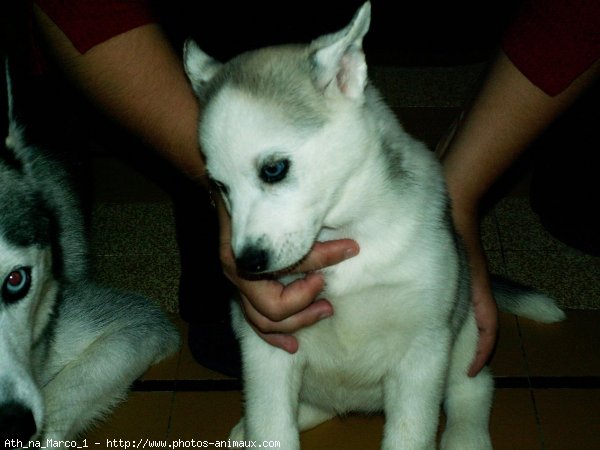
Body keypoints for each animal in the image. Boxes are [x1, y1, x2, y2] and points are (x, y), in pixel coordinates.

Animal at [185, 2, 564, 446]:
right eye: (219, 187)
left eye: (274, 169)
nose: (247, 264)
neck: (347, 239)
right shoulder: (268, 348)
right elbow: (272, 426)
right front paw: (261, 430)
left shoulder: (422, 352)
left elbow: (411, 433)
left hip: (467, 329)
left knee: (471, 389)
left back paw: (465, 436)